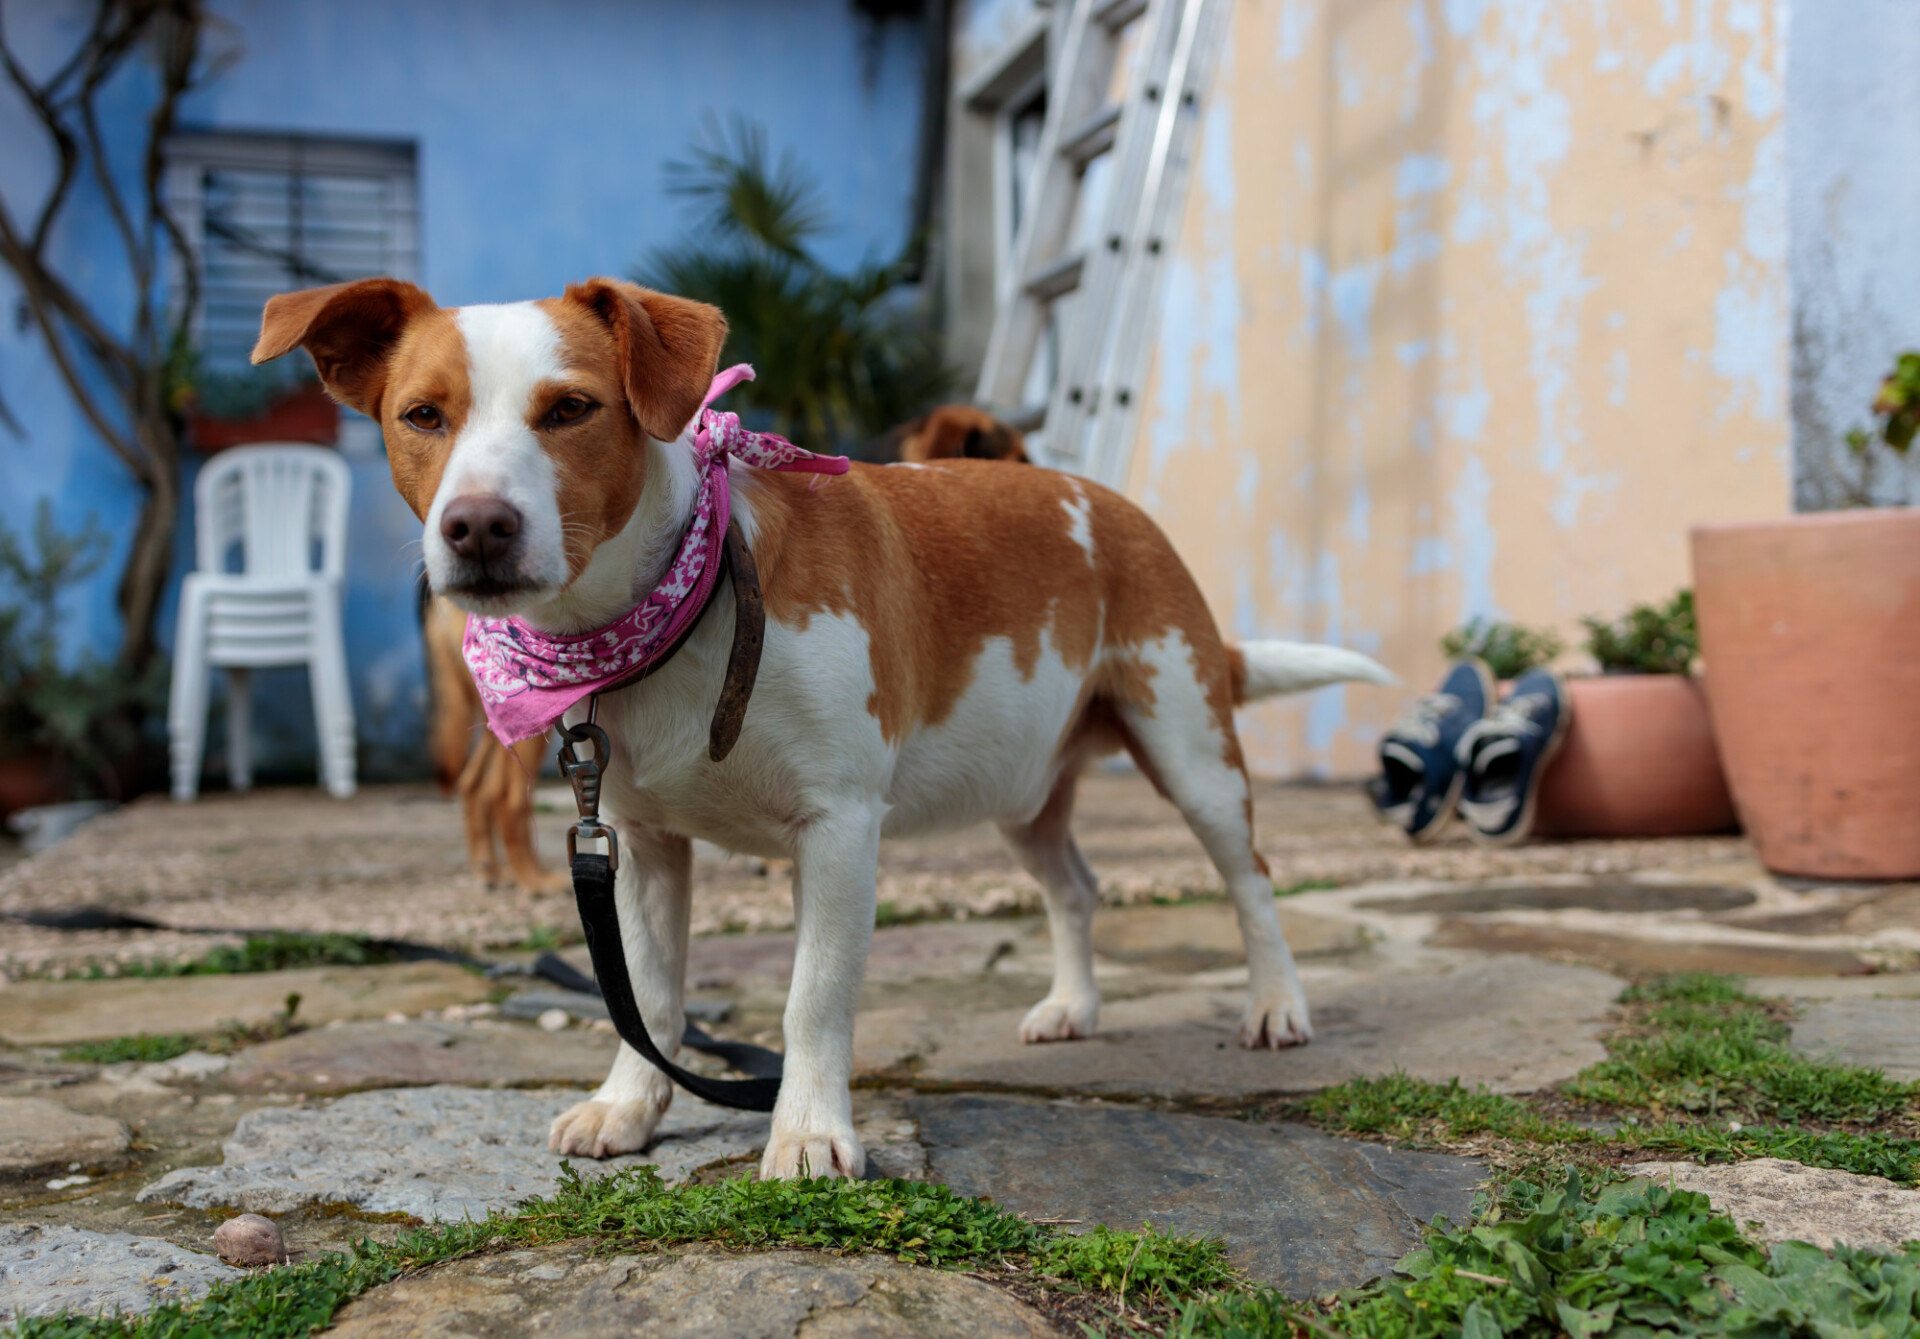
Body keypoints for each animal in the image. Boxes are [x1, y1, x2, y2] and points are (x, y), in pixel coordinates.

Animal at [251, 276, 1397, 1175]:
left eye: (570, 408)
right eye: (421, 415)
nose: (478, 526)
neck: (685, 599)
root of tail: (1107, 500)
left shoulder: (839, 830)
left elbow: (812, 998)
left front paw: (804, 1132)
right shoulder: (640, 847)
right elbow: (646, 995)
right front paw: (631, 1104)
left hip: (1192, 750)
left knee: (1252, 880)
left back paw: (1277, 1005)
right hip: (1020, 785)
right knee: (1075, 886)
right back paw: (1073, 1005)